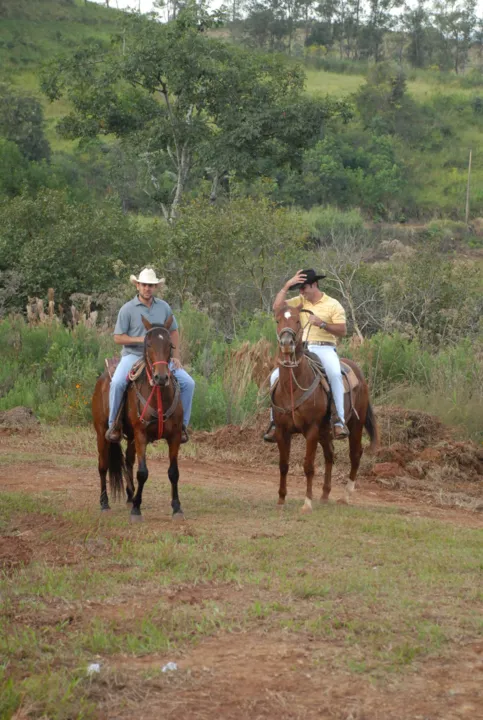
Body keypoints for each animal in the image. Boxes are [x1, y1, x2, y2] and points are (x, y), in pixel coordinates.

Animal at [91, 318, 184, 520]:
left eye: (170, 345)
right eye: (148, 344)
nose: (161, 377)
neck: (158, 397)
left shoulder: (174, 437)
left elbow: (173, 472)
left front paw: (176, 507)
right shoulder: (141, 435)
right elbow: (142, 472)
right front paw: (136, 510)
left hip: (131, 437)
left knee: (127, 462)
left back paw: (130, 496)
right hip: (102, 432)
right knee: (103, 466)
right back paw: (104, 503)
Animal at [272, 304, 378, 512]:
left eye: (297, 320)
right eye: (278, 320)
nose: (287, 343)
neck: (293, 388)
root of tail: (359, 374)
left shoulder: (311, 430)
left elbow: (308, 466)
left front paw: (307, 502)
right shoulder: (282, 430)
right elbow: (283, 464)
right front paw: (280, 499)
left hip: (355, 425)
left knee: (355, 454)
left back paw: (345, 496)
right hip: (325, 431)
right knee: (330, 454)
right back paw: (325, 494)